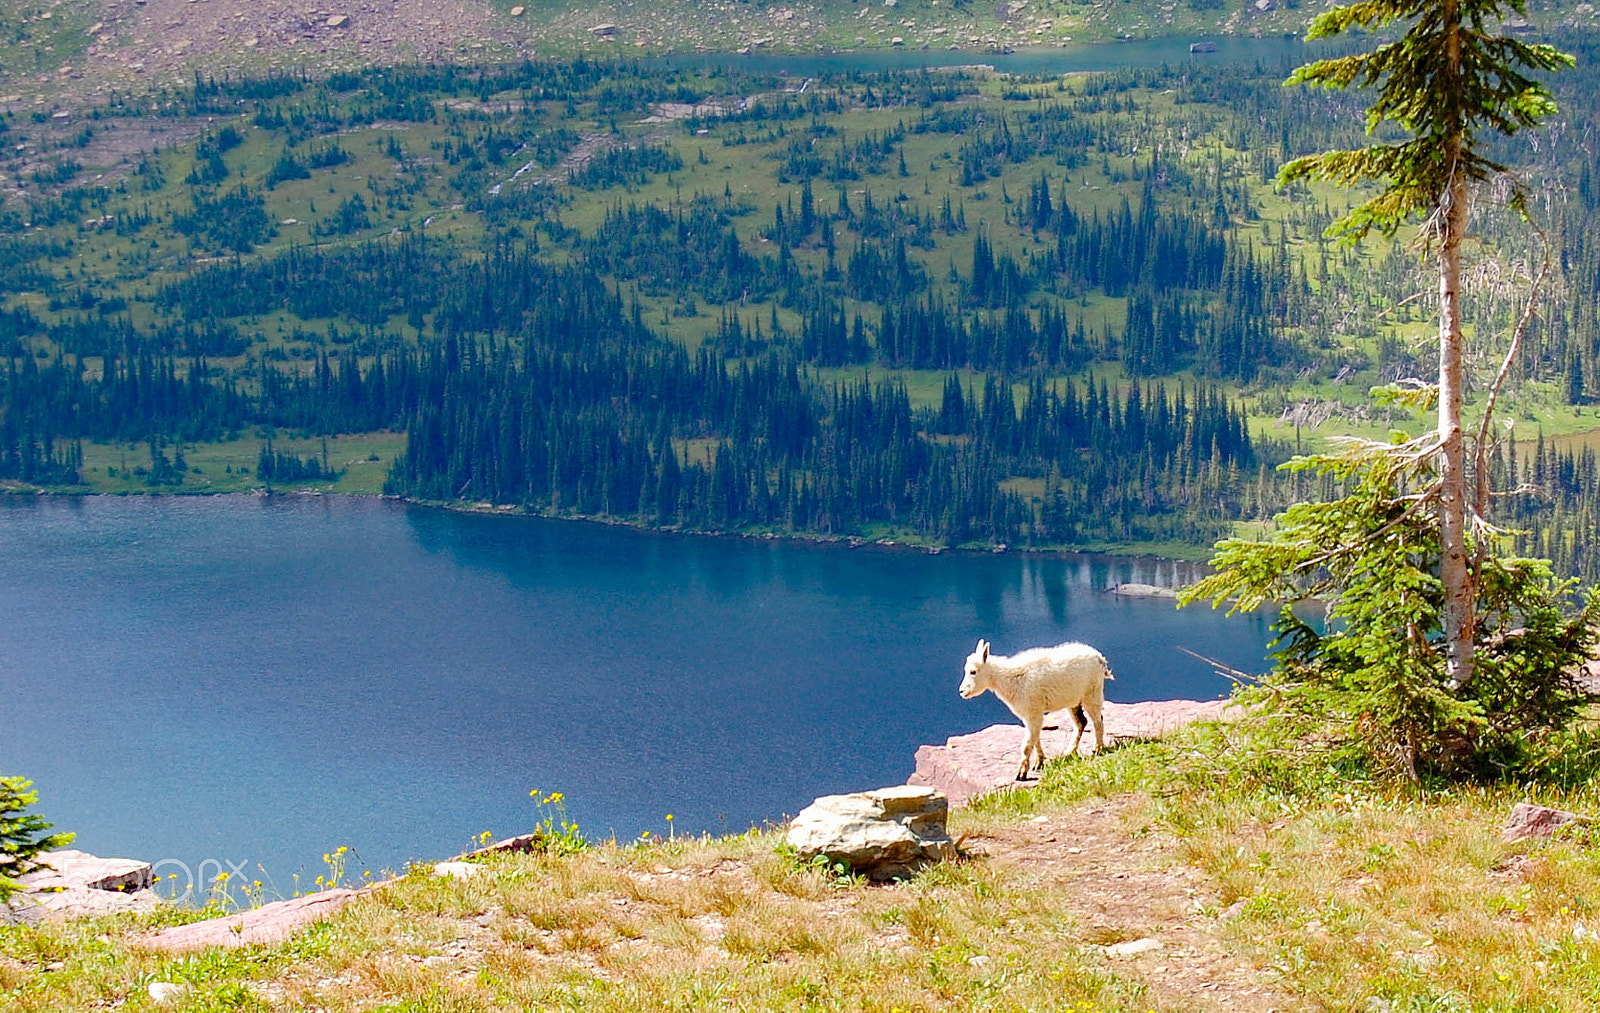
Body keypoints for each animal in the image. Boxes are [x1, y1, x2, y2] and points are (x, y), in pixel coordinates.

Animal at [958, 639, 1113, 780]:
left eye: (973, 672)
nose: (961, 691)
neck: (1010, 680)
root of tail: (1099, 658)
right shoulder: (1029, 714)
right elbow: (1035, 738)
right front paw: (1039, 763)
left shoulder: (1033, 711)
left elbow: (1027, 744)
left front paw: (1021, 774)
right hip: (1073, 700)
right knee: (1081, 722)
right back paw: (1069, 753)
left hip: (1092, 693)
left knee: (1098, 721)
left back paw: (1098, 749)